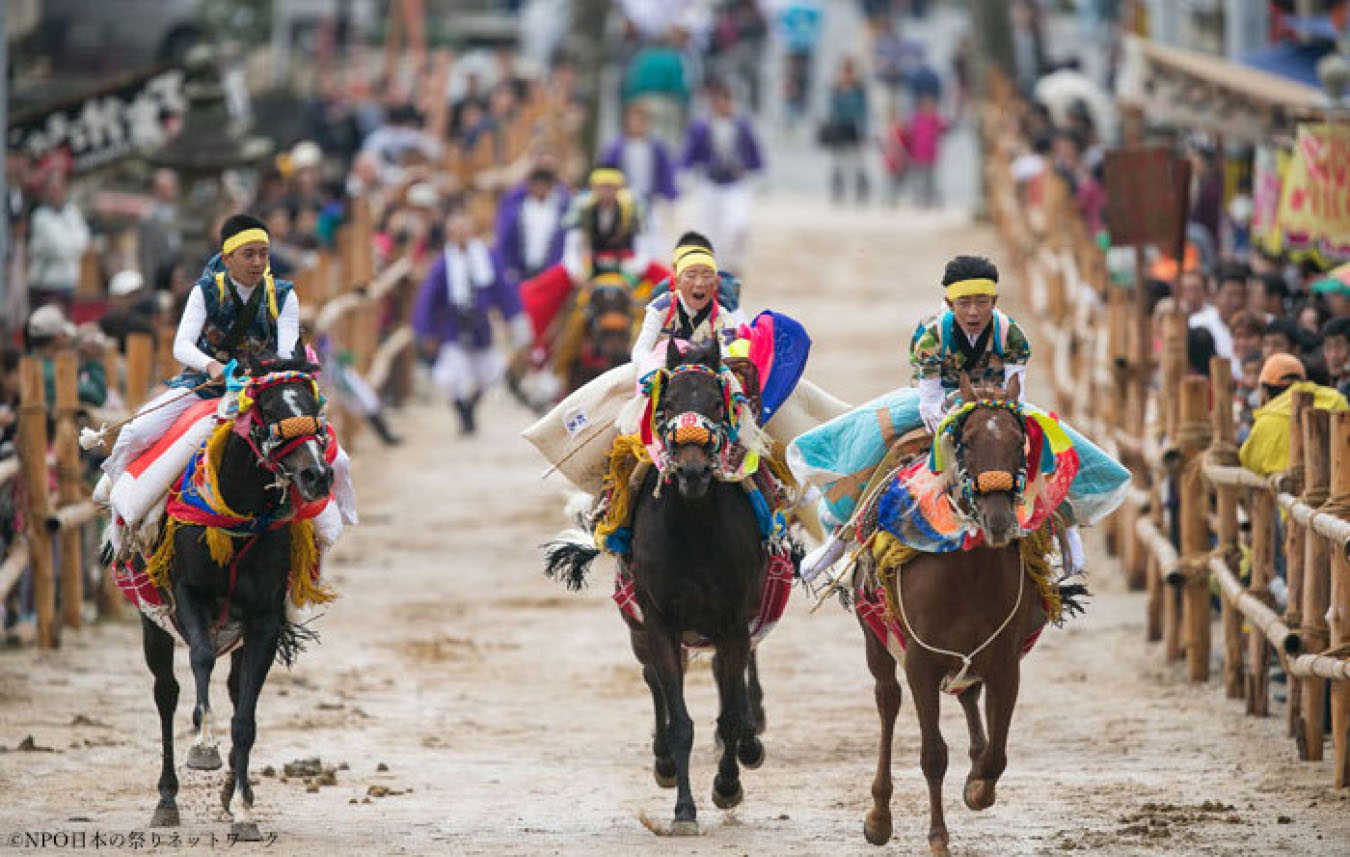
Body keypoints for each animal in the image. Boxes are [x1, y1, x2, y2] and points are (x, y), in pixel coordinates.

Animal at [136, 356, 334, 847]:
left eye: (313, 408)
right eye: (267, 409)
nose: (316, 475)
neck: (239, 520)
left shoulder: (263, 620)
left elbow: (245, 717)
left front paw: (244, 808)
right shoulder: (186, 597)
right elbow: (201, 660)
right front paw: (203, 746)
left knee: (232, 689)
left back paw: (229, 791)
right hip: (152, 620)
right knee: (165, 693)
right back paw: (166, 799)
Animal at [540, 338, 772, 836]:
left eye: (716, 403)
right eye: (666, 406)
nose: (692, 472)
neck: (695, 533)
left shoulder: (733, 621)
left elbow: (728, 711)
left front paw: (727, 785)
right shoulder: (659, 619)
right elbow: (679, 717)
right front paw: (683, 809)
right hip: (639, 624)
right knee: (654, 681)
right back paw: (664, 760)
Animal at [853, 372, 1053, 852]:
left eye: (1019, 441)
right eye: (967, 441)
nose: (998, 520)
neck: (967, 573)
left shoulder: (1004, 663)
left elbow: (997, 754)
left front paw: (978, 785)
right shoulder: (920, 663)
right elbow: (933, 755)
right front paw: (938, 838)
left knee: (968, 696)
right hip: (877, 641)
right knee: (887, 701)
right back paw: (879, 815)